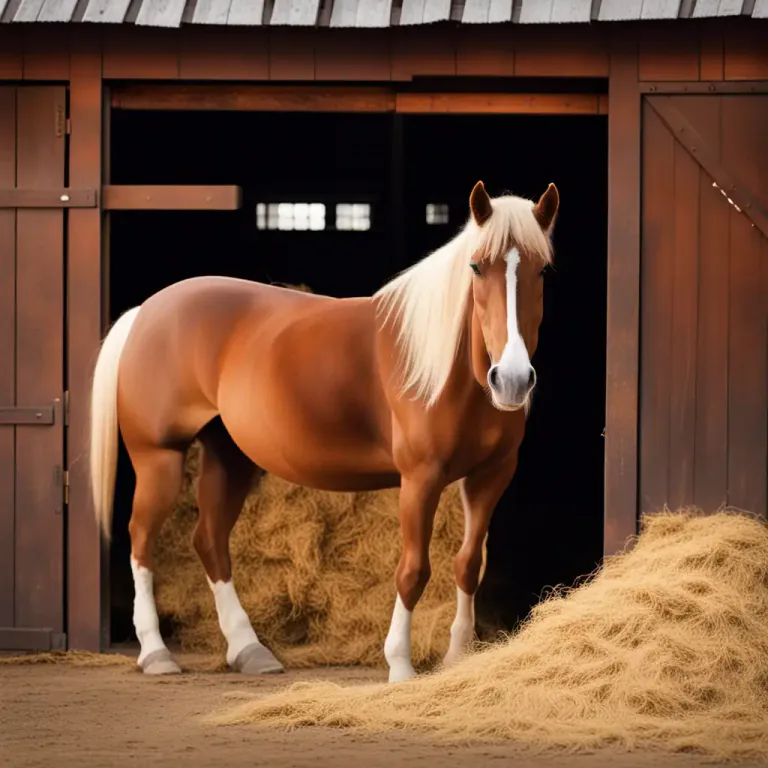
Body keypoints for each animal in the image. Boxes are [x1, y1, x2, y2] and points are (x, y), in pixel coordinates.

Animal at [89, 180, 559, 683]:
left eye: (543, 270)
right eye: (476, 266)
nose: (512, 379)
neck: (445, 369)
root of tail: (146, 312)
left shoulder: (489, 477)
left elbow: (468, 563)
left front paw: (457, 658)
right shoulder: (421, 477)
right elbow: (413, 569)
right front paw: (400, 665)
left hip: (228, 457)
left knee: (209, 540)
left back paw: (249, 650)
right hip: (159, 456)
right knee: (141, 540)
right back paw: (157, 653)